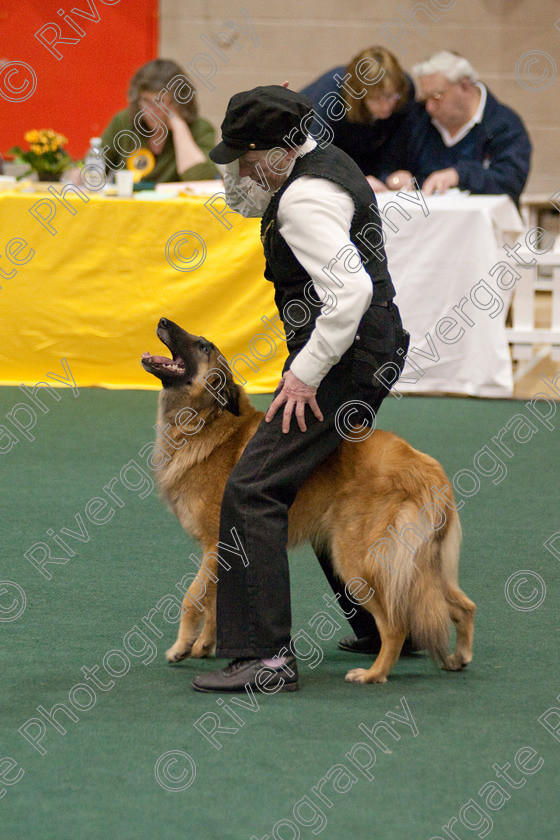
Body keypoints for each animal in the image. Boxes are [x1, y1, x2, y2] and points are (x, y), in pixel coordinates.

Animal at [142, 318, 474, 684]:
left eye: (203, 347)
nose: (162, 321)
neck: (210, 422)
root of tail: (428, 471)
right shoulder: (223, 554)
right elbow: (215, 602)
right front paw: (204, 645)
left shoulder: (216, 545)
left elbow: (192, 599)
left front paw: (182, 647)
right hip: (420, 567)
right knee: (463, 606)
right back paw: (457, 658)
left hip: (357, 563)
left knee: (396, 625)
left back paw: (372, 674)